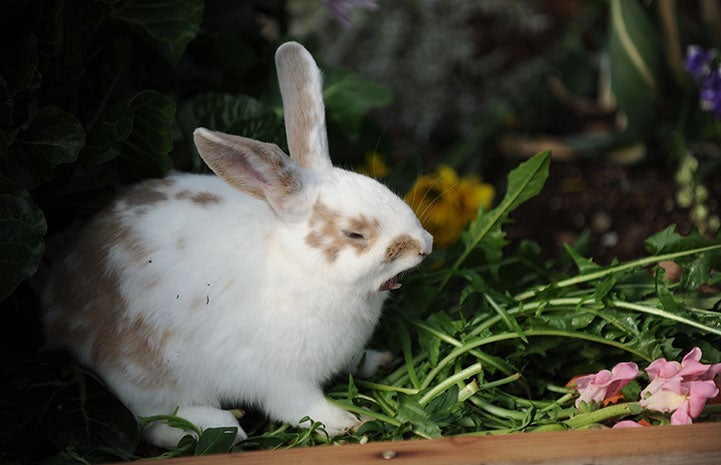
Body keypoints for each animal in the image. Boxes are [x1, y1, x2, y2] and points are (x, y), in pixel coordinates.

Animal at [43, 41, 434, 448]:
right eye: (354, 234)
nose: (425, 244)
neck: (303, 270)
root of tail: (58, 304)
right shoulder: (281, 381)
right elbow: (304, 407)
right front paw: (348, 422)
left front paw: (379, 360)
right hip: (141, 377)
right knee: (151, 420)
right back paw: (218, 427)